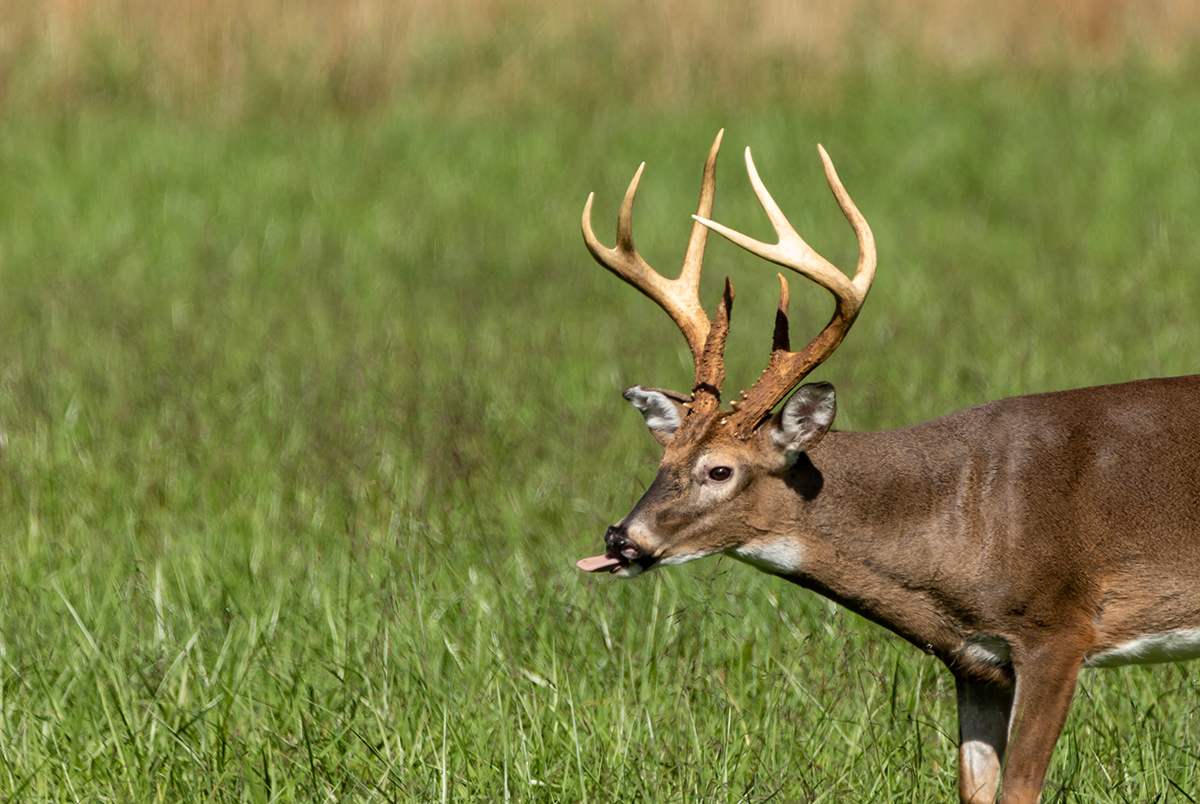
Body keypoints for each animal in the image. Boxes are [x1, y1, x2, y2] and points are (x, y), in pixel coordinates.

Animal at [573, 130, 1200, 804]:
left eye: (720, 470)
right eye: (663, 457)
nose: (620, 539)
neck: (965, 516)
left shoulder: (1058, 628)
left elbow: (1019, 788)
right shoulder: (977, 663)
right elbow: (975, 789)